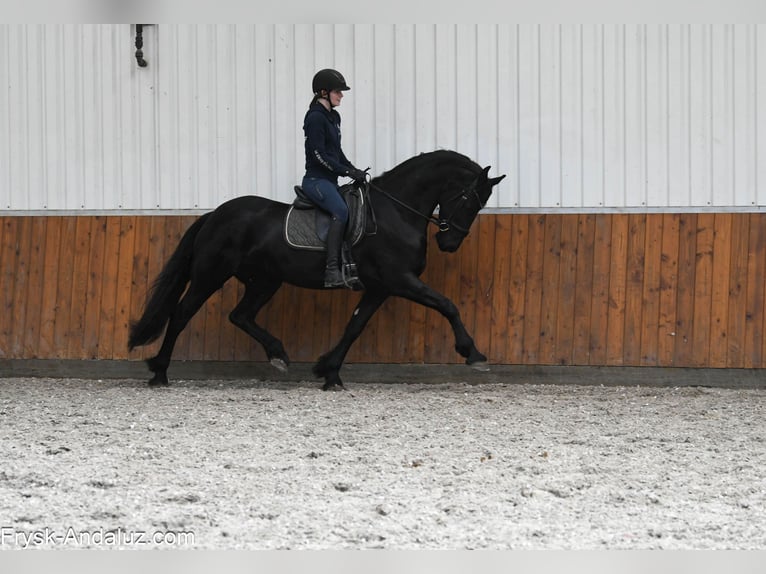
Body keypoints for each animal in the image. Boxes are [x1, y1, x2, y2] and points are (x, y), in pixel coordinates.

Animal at [128, 149, 506, 390]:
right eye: (468, 199)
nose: (449, 243)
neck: (395, 213)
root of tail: (215, 214)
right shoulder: (400, 280)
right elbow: (447, 305)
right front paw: (473, 354)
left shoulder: (380, 287)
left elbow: (354, 327)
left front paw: (329, 372)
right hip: (210, 275)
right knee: (181, 315)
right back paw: (159, 372)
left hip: (264, 281)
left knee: (241, 315)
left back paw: (278, 355)